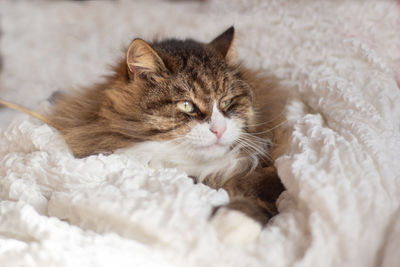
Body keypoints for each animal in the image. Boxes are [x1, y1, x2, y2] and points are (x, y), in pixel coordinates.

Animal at [4, 26, 286, 244]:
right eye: (187, 106)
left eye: (227, 102)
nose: (219, 129)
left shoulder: (268, 171)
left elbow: (262, 195)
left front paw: (231, 224)